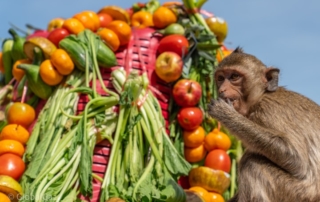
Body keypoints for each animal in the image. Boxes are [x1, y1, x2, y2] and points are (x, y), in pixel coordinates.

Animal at [209, 47, 320, 202]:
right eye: (220, 78)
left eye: (234, 77)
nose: (221, 90)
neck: (261, 96)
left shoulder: (268, 111)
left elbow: (298, 161)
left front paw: (225, 113)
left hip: (300, 194)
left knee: (252, 163)